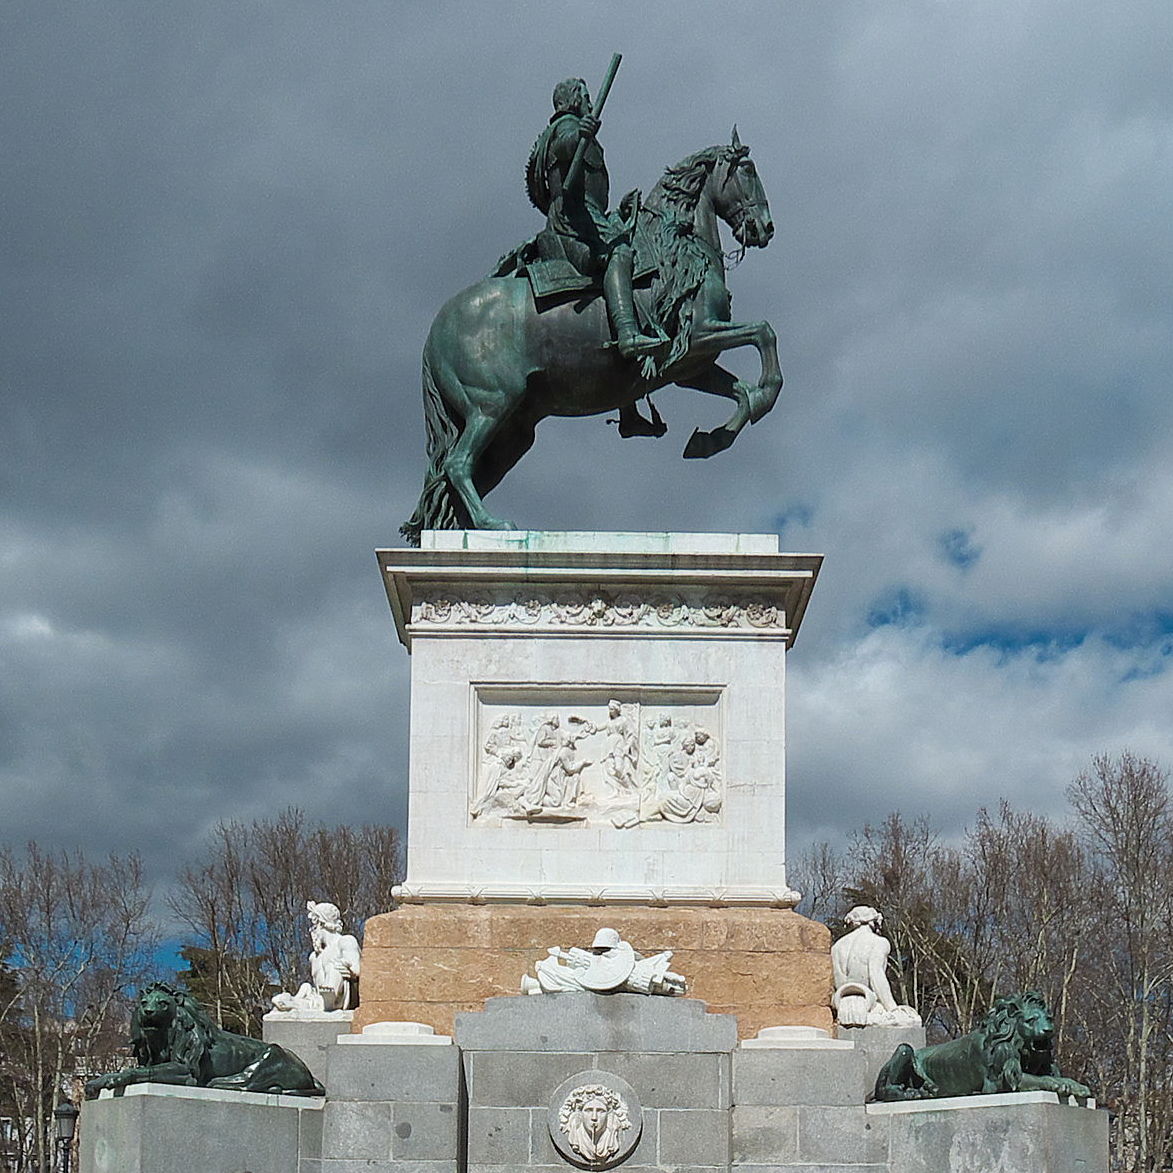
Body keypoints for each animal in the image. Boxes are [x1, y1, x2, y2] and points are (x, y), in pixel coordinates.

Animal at [401, 130, 778, 541]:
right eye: (748, 169)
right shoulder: (696, 340)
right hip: (491, 405)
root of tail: (436, 330)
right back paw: (492, 525)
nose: (765, 227)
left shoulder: (690, 367)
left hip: (512, 431)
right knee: (456, 464)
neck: (675, 247)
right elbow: (764, 333)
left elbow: (740, 391)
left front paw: (712, 439)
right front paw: (763, 398)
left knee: (461, 479)